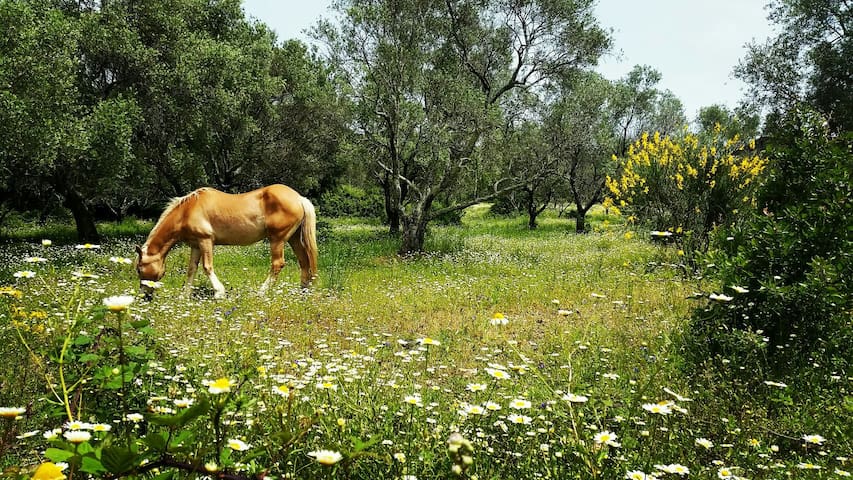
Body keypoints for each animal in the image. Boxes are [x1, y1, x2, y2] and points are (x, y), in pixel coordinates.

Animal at [136, 183, 316, 296]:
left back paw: (261, 292)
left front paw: (219, 292)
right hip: (294, 239)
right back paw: (303, 292)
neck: (187, 211)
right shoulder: (196, 245)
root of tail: (299, 198)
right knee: (304, 262)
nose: (145, 295)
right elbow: (191, 269)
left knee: (277, 264)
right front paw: (184, 296)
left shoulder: (206, 241)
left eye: (138, 269)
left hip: (277, 239)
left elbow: (207, 267)